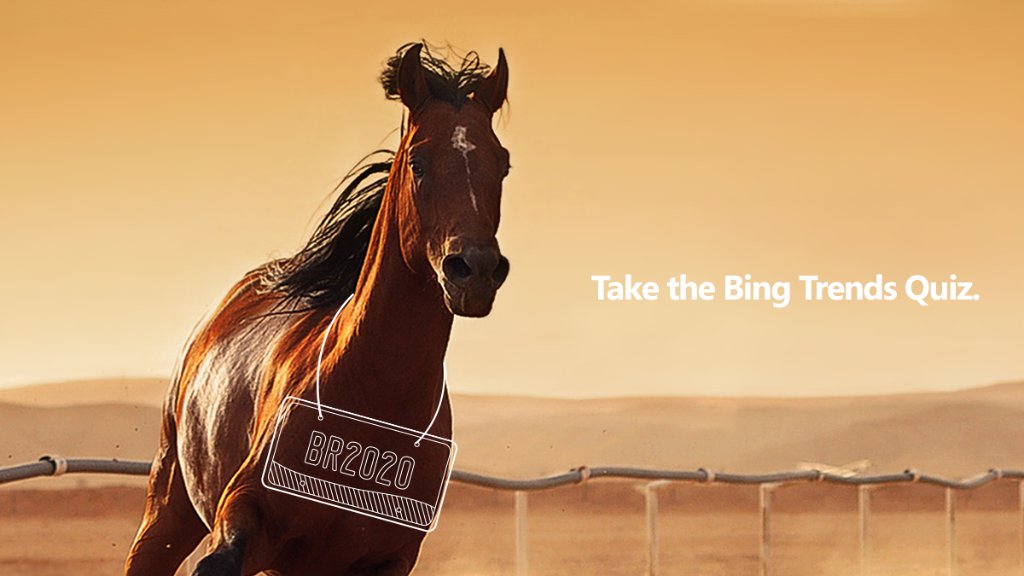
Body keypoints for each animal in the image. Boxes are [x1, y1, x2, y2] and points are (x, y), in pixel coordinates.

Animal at [124, 42, 511, 576]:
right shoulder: (246, 517)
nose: (474, 270)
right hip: (167, 510)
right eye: (418, 160)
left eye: (503, 163)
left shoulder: (389, 558)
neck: (371, 398)